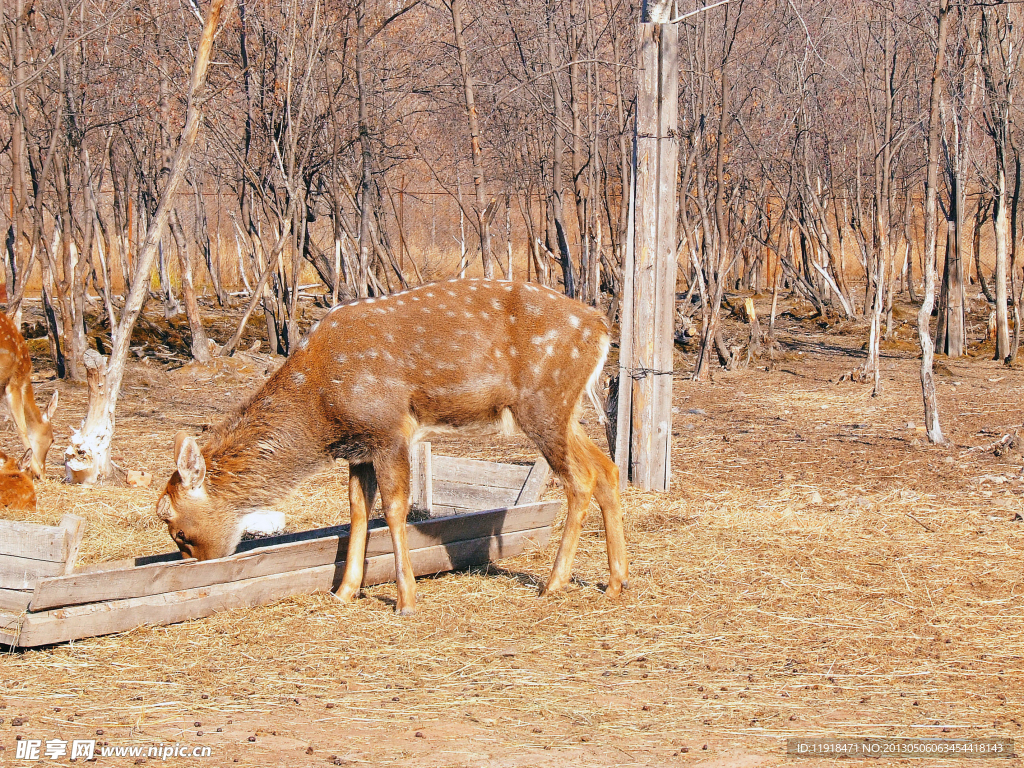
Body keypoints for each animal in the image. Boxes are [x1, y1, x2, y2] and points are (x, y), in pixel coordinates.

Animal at [159, 276, 626, 614]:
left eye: (177, 528)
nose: (200, 567)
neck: (322, 407)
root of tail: (602, 328)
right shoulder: (359, 449)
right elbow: (357, 512)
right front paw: (344, 592)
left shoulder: (388, 429)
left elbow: (394, 509)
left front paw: (405, 600)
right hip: (565, 410)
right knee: (607, 468)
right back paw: (615, 581)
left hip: (545, 402)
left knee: (580, 479)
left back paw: (553, 583)